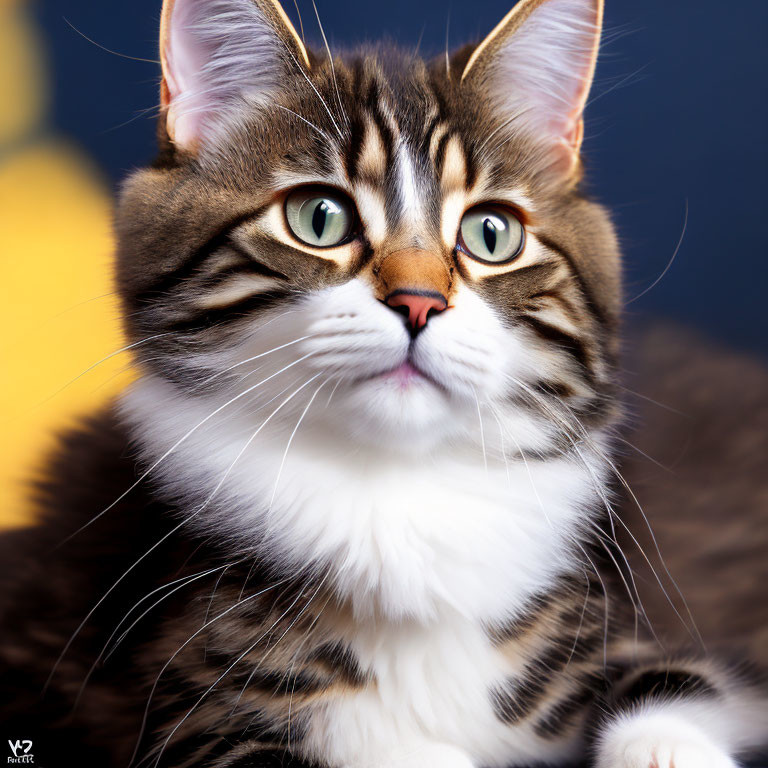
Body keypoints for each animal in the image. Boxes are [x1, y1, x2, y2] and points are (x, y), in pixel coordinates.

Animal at [1, 1, 768, 768]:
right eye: (319, 218)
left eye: (492, 234)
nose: (419, 302)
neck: (396, 492)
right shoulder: (180, 704)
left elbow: (679, 679)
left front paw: (670, 746)